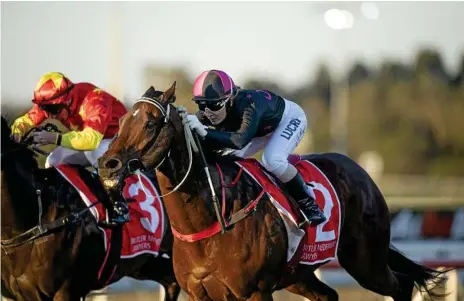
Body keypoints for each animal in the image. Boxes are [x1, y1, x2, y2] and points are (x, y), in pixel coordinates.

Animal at [97, 82, 446, 300]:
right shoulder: (199, 293)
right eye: (123, 119)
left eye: (151, 123)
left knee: (401, 286)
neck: (213, 218)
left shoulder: (256, 291)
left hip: (365, 261)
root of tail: (363, 174)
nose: (107, 165)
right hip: (300, 274)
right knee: (329, 295)